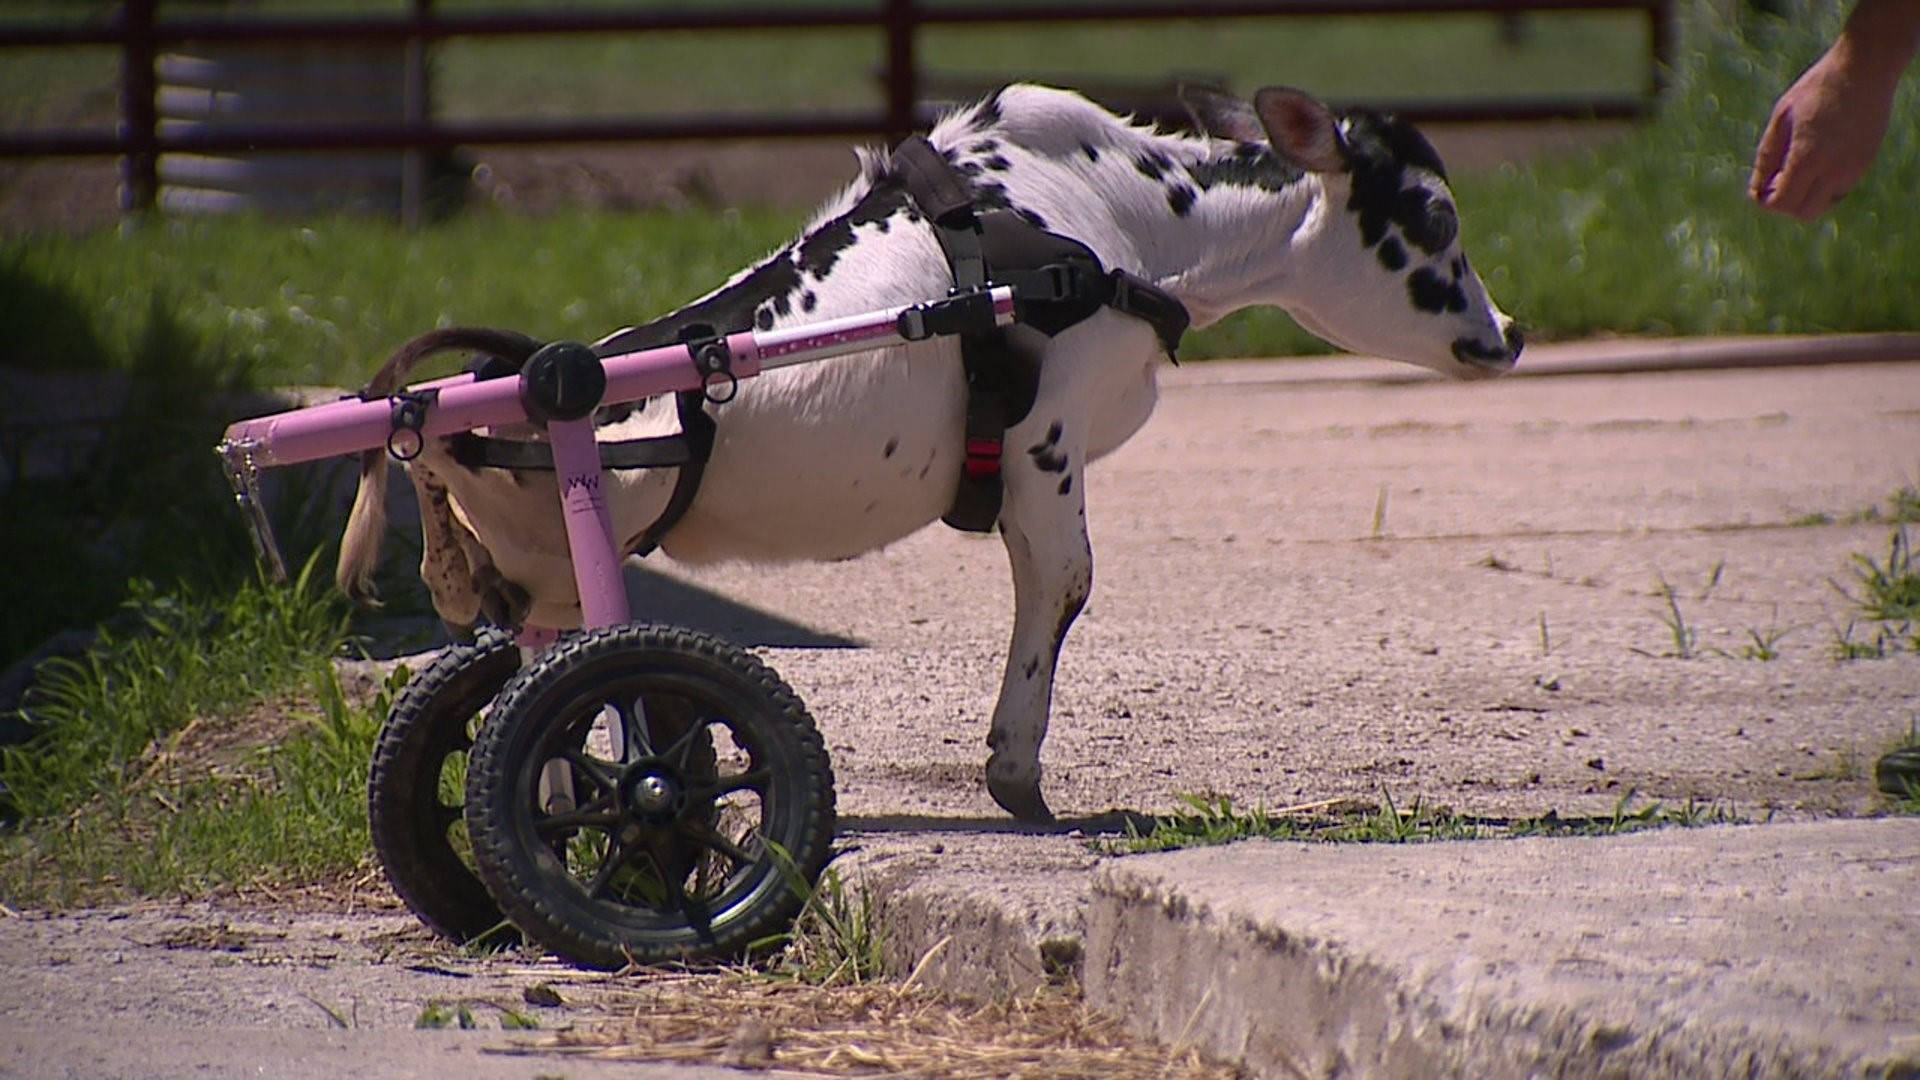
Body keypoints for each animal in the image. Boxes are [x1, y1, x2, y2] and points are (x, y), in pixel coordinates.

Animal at [341, 84, 1512, 818]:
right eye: (1433, 217)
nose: (1508, 334)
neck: (1126, 218)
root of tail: (496, 386)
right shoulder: (1047, 443)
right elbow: (1063, 586)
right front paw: (1017, 776)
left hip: (538, 589)